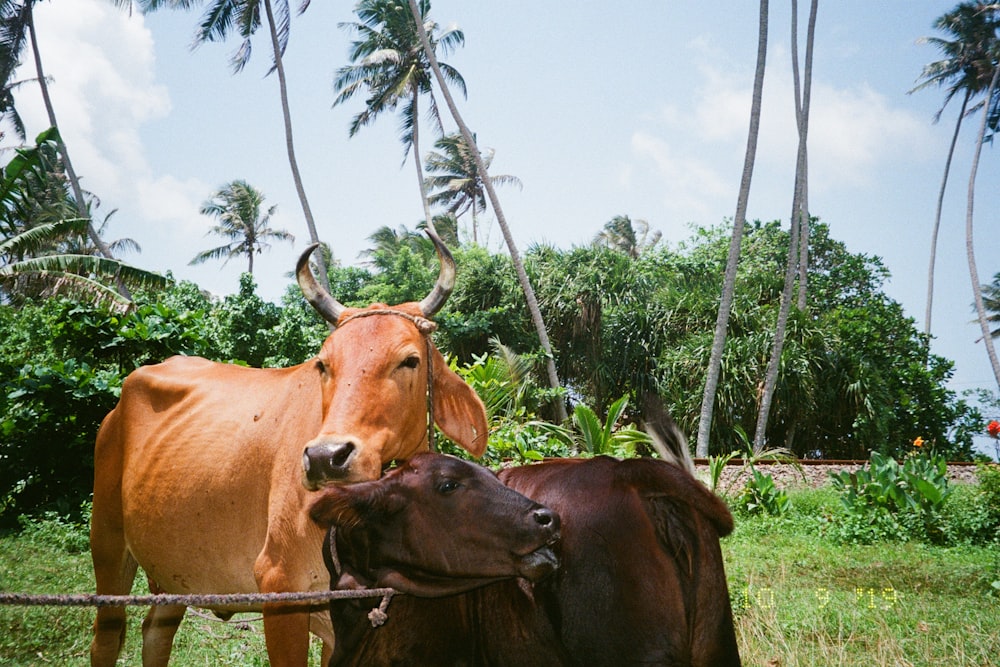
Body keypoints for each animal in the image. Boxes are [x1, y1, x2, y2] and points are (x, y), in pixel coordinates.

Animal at [90, 231, 488, 667]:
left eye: (410, 360)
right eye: (323, 364)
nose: (326, 458)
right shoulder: (280, 589)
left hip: (173, 571)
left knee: (156, 631)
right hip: (107, 542)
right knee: (107, 636)